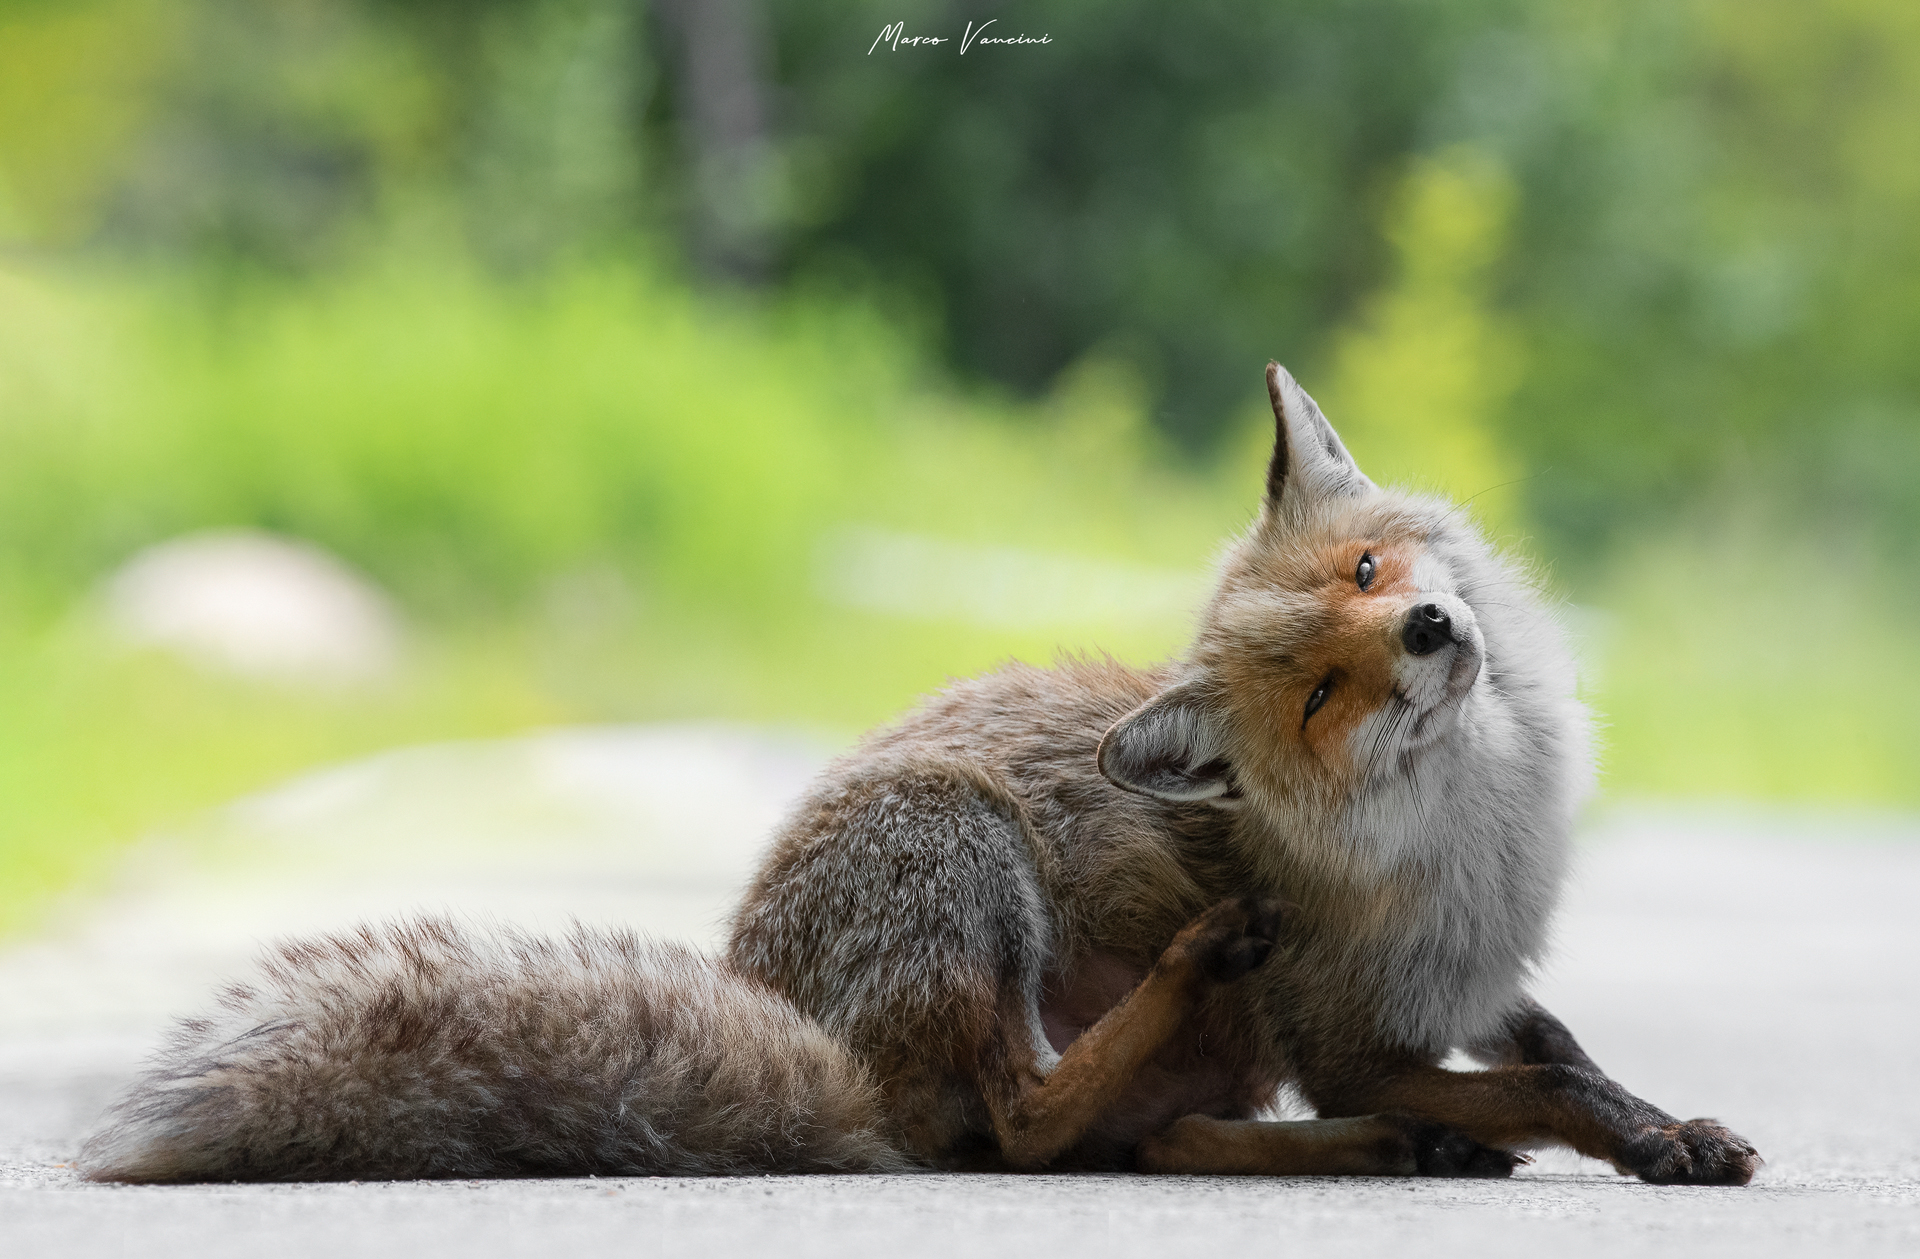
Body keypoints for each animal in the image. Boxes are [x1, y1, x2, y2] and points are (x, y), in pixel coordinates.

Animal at [78, 363, 1759, 1185]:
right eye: (1321, 692)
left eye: (1365, 569)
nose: (1426, 631)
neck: (1476, 833)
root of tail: (811, 1041)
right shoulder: (1350, 1034)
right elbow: (1538, 1081)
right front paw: (1599, 1136)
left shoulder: (1473, 977)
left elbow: (1567, 1053)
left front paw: (1664, 1127)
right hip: (970, 845)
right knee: (1030, 1119)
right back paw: (1281, 1048)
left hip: (1196, 1049)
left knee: (1136, 1138)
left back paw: (1375, 1149)